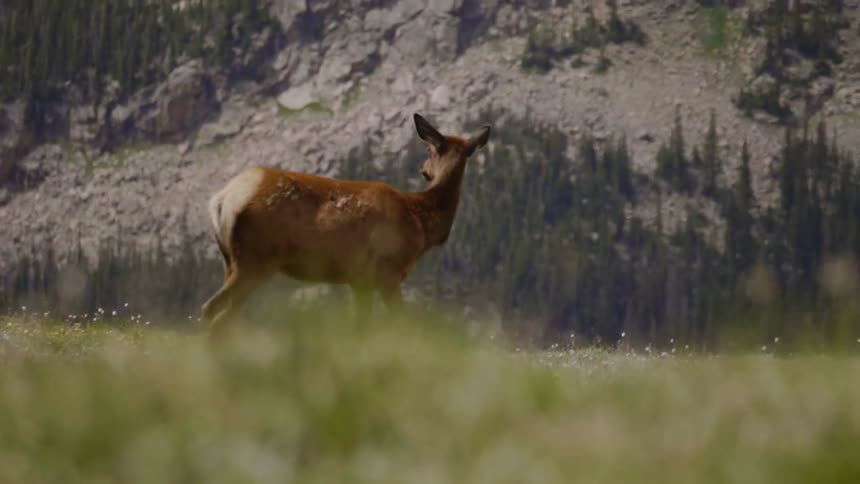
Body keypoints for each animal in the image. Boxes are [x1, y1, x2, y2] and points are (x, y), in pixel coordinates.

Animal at [201, 113, 491, 339]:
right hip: (256, 258)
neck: (420, 221)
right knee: (212, 311)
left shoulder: (360, 280)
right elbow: (400, 323)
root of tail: (221, 200)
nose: (423, 169)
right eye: (429, 150)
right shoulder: (388, 271)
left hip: (233, 261)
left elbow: (361, 328)